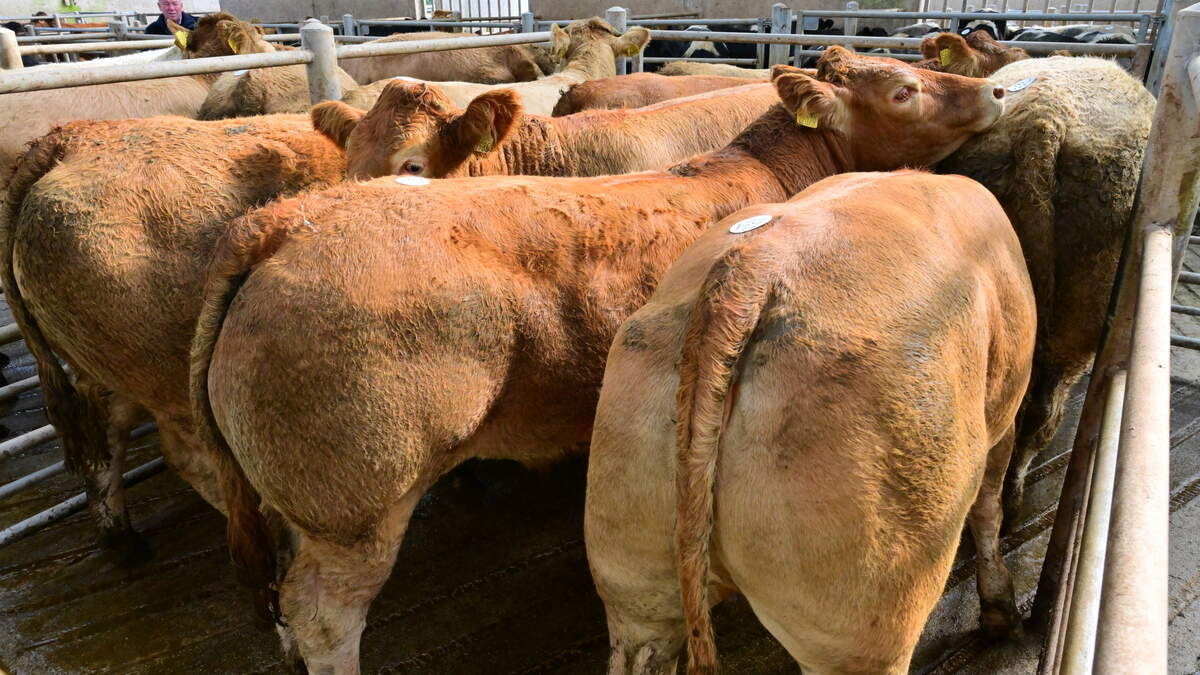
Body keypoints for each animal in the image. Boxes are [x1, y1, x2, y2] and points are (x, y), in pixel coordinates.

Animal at [0, 115, 346, 559]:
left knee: (105, 439)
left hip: (103, 363)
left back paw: (125, 543)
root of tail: (69, 138)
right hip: (174, 376)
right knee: (198, 461)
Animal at [585, 170, 1036, 674]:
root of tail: (749, 272)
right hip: (864, 604)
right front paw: (1000, 613)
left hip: (632, 573)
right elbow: (989, 509)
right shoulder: (1004, 411)